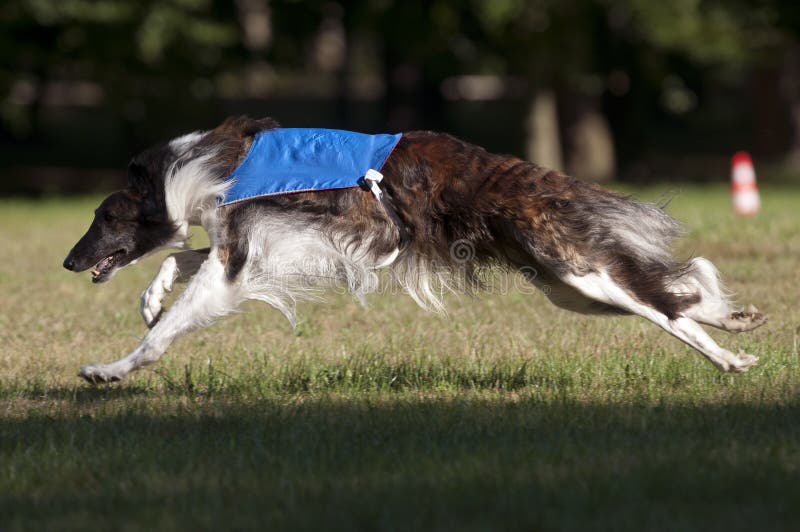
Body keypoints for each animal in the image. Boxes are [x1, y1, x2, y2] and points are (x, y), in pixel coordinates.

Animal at [61, 116, 764, 382]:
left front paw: (109, 369)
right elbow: (174, 261)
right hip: (567, 286)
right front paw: (150, 299)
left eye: (104, 216)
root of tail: (530, 175)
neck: (194, 169)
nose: (68, 262)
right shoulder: (244, 247)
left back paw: (730, 357)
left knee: (668, 307)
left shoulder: (239, 258)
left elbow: (167, 325)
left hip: (579, 274)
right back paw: (735, 322)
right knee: (677, 295)